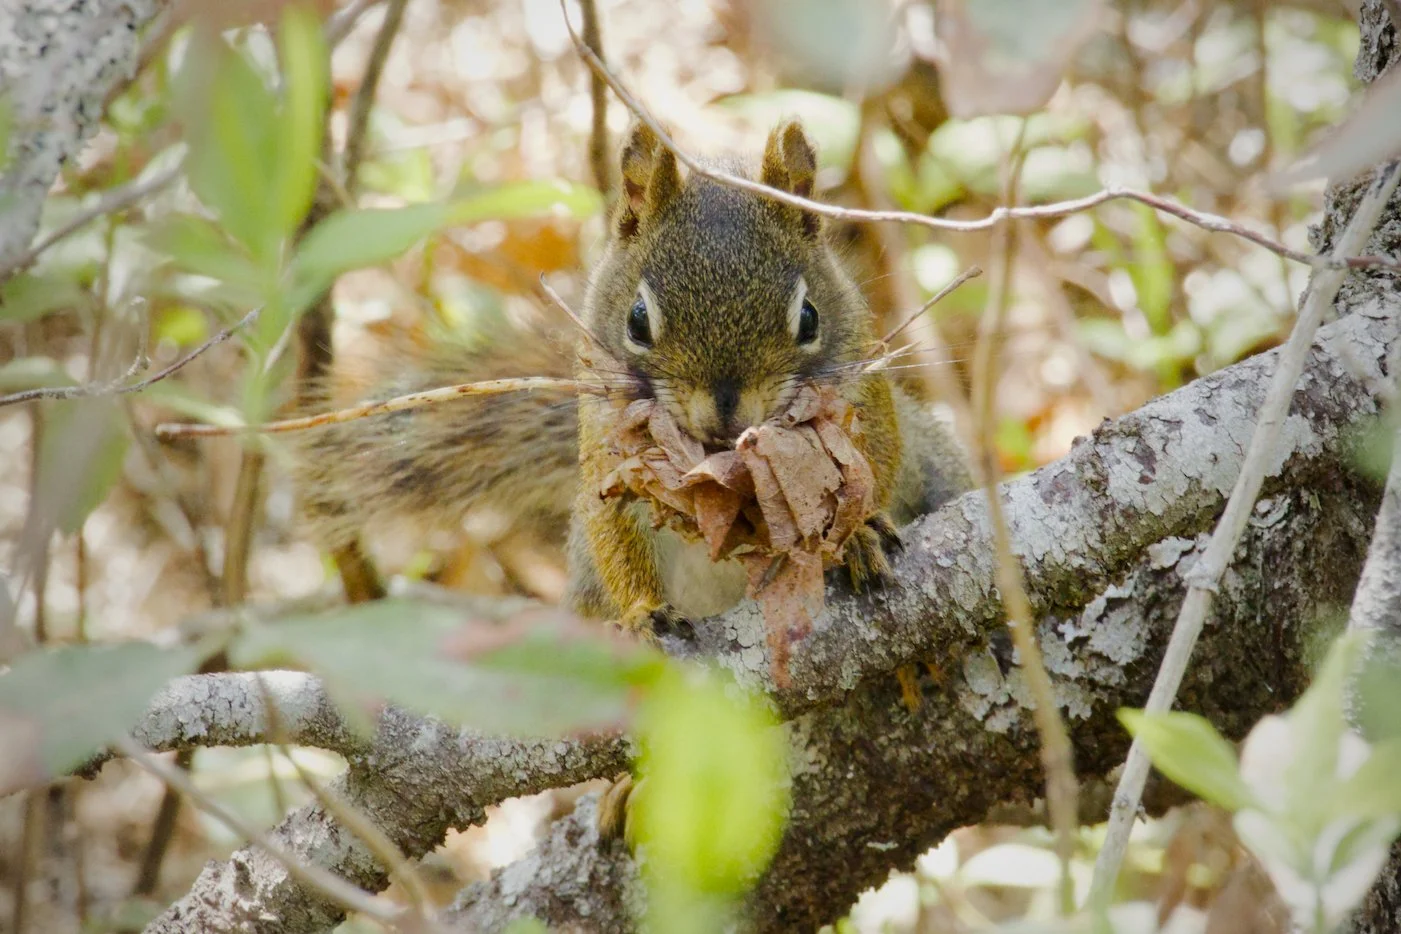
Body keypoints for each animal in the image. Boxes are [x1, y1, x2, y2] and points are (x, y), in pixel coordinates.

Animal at [293, 119, 972, 636]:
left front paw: (855, 533)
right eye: (637, 320)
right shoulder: (608, 442)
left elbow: (874, 453)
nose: (725, 413)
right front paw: (645, 611)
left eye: (809, 318)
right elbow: (613, 525)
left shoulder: (861, 384)